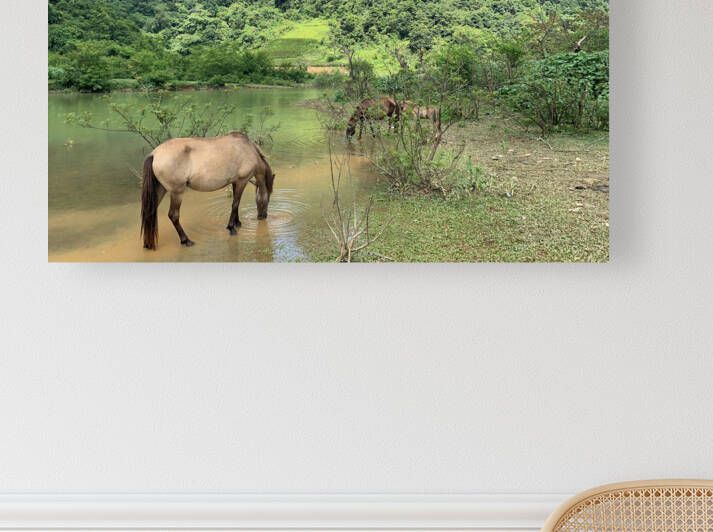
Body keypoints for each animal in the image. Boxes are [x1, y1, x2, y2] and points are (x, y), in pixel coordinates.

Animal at [140, 131, 275, 250]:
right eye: (268, 198)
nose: (263, 216)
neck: (248, 150)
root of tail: (154, 154)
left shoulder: (235, 182)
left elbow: (235, 204)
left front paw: (237, 223)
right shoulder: (242, 181)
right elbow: (235, 204)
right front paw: (231, 227)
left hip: (160, 190)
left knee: (149, 213)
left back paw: (147, 244)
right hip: (176, 193)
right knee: (173, 215)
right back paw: (186, 240)